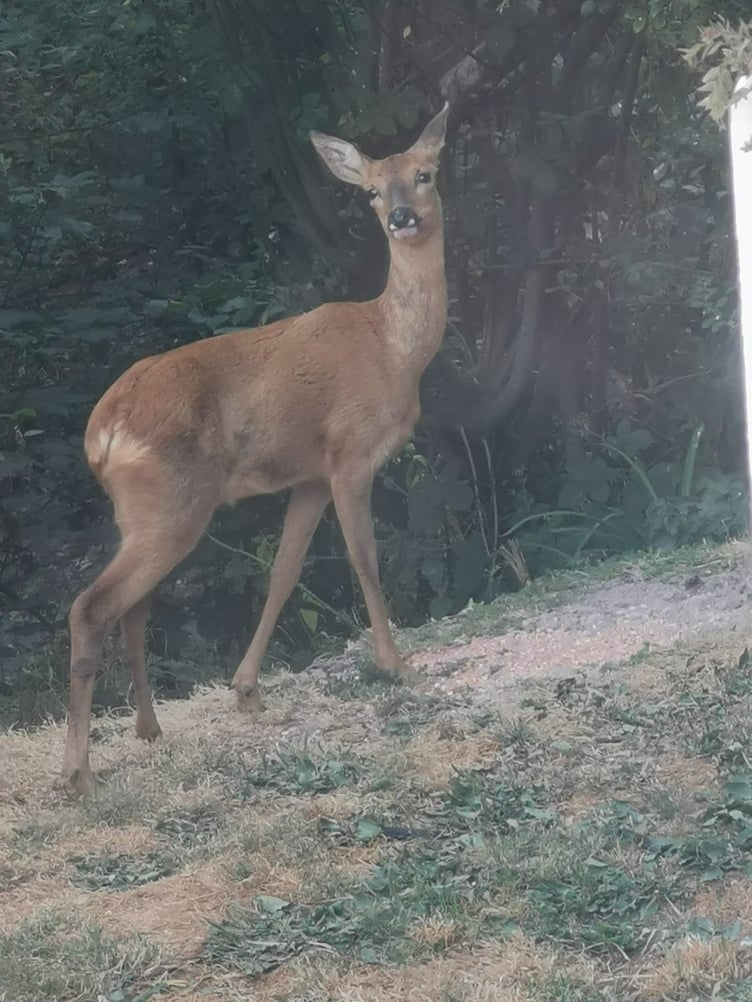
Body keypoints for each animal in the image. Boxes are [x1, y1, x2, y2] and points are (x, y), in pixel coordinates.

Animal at [62, 102, 450, 795]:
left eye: (425, 174)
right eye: (373, 192)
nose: (402, 217)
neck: (394, 347)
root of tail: (100, 433)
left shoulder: (309, 476)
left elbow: (284, 571)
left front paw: (246, 689)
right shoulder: (350, 452)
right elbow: (364, 558)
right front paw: (396, 664)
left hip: (145, 512)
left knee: (132, 606)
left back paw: (149, 729)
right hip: (171, 503)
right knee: (92, 606)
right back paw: (79, 772)